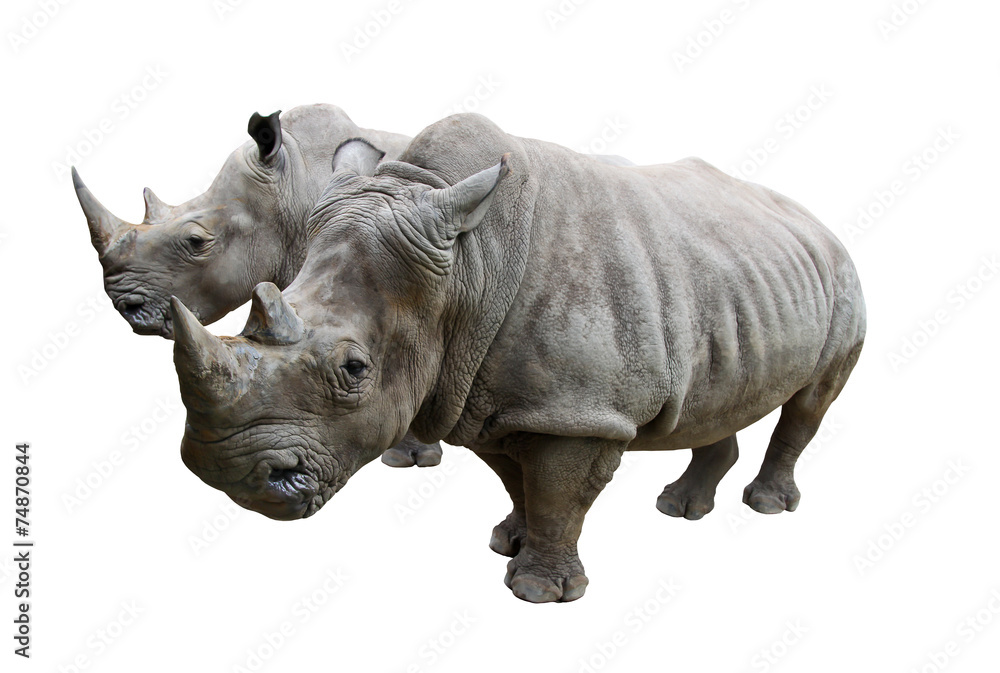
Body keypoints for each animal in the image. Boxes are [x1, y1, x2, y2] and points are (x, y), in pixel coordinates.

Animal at [168, 114, 866, 603]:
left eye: (354, 370)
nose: (230, 475)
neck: (465, 268)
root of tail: (817, 220)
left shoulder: (578, 409)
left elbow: (559, 490)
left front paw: (540, 592)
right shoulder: (487, 396)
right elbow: (518, 479)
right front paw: (508, 541)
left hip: (841, 275)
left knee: (812, 400)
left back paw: (766, 506)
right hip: (740, 277)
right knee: (719, 395)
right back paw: (680, 509)